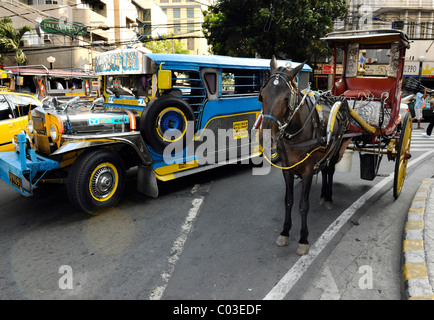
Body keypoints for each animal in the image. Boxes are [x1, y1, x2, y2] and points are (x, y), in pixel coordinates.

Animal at [260, 55, 350, 255]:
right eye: (261, 95)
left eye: (286, 98)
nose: (266, 137)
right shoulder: (287, 169)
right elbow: (289, 201)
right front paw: (285, 232)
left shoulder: (308, 170)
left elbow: (303, 204)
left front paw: (303, 239)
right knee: (324, 170)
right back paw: (323, 195)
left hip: (335, 149)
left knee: (330, 170)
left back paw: (328, 197)